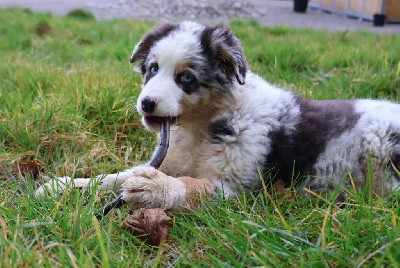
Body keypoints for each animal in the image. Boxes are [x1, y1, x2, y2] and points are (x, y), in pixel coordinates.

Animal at [36, 21, 398, 209]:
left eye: (186, 79)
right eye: (152, 69)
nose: (147, 104)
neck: (200, 128)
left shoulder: (235, 187)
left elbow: (191, 185)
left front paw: (156, 190)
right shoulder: (169, 157)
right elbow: (116, 176)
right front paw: (65, 185)